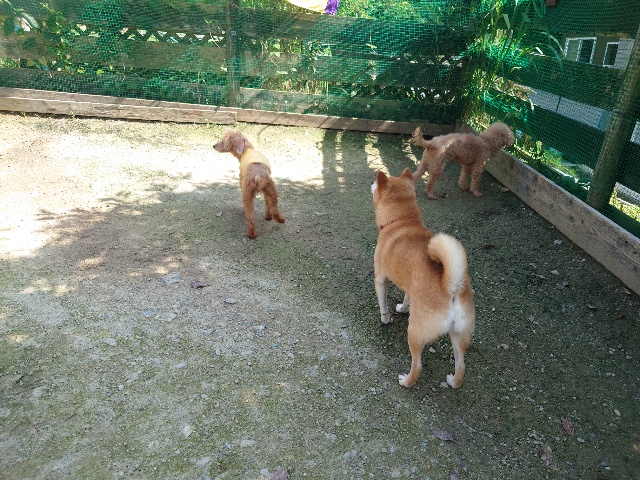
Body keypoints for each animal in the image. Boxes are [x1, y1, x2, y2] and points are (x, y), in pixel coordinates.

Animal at [371, 168, 476, 388]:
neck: (402, 221)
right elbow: (407, 299)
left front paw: (386, 319)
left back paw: (406, 381)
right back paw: (453, 381)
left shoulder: (380, 279)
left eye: (375, 183)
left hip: (415, 333)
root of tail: (451, 287)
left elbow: (383, 304)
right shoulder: (411, 286)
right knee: (461, 366)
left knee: (417, 365)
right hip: (458, 335)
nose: (371, 182)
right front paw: (403, 308)